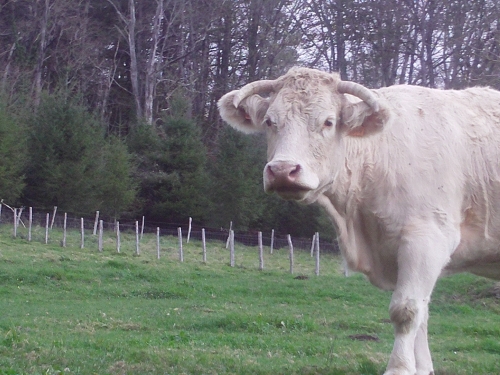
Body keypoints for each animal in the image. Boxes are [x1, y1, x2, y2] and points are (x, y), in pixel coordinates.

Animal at [218, 67, 500, 375]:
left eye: (328, 122)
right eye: (270, 121)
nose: (282, 170)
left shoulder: (428, 238)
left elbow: (407, 310)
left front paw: (399, 368)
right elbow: (422, 314)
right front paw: (421, 367)